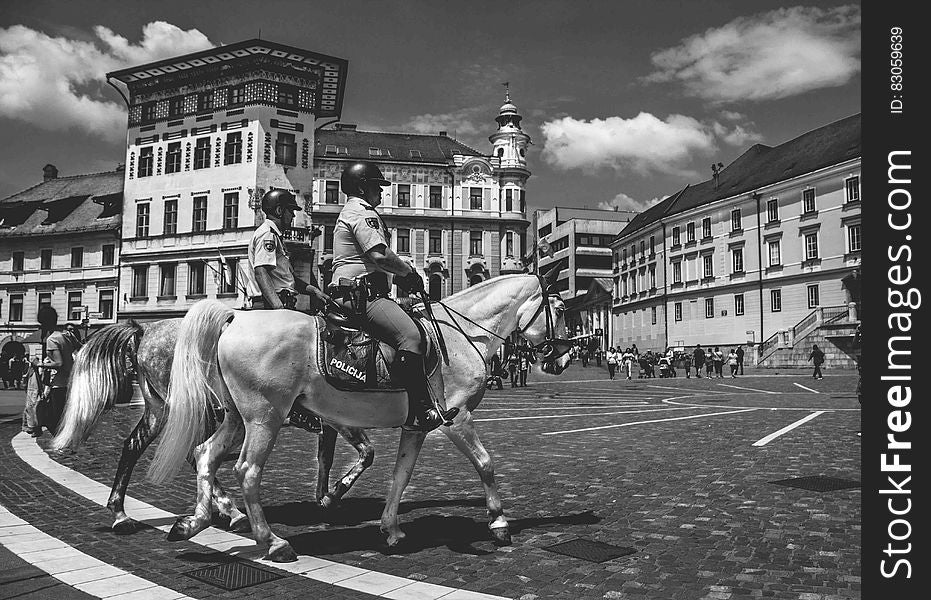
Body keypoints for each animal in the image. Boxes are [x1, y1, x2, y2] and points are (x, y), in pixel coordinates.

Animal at [149, 272, 572, 564]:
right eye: (561, 310)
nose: (564, 358)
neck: (462, 335)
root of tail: (235, 317)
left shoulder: (417, 426)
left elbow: (400, 475)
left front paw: (390, 528)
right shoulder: (457, 418)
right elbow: (485, 464)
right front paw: (499, 524)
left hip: (237, 418)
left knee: (205, 454)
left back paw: (194, 522)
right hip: (264, 419)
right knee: (247, 472)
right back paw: (273, 542)